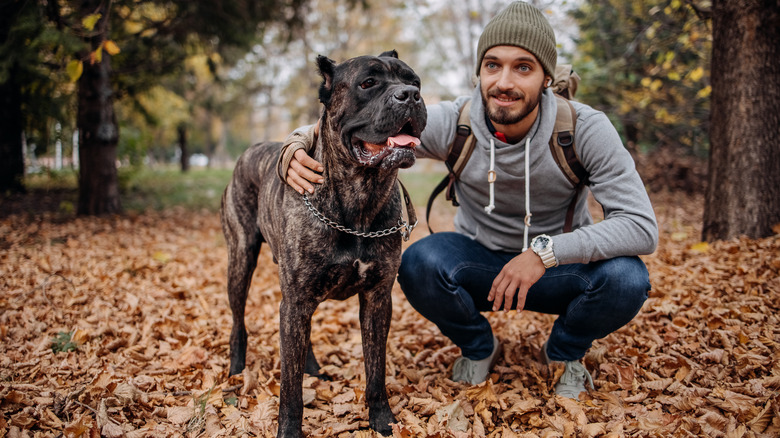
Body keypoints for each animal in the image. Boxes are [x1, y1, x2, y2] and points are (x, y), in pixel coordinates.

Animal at [219, 49, 426, 436]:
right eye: (368, 83)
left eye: (414, 81)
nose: (410, 96)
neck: (361, 198)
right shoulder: (295, 301)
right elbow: (290, 387)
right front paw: (289, 430)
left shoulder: (377, 299)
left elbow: (375, 369)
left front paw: (382, 419)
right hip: (241, 259)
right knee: (239, 320)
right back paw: (237, 368)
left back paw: (312, 367)